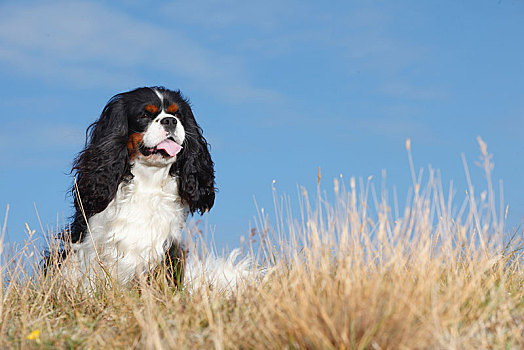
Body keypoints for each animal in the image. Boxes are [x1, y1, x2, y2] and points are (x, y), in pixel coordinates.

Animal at [50, 86, 251, 292]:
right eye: (145, 115)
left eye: (177, 114)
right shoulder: (89, 243)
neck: (148, 179)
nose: (170, 121)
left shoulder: (164, 248)